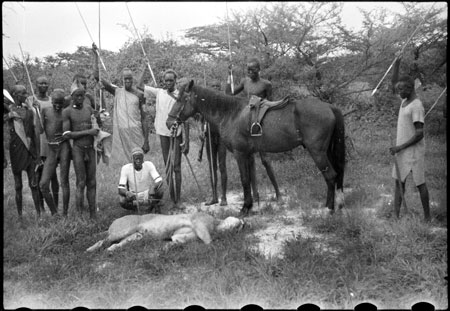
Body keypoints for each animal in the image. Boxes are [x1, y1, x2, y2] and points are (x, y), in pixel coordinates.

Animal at [167, 80, 346, 217]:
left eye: (182, 99)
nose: (169, 122)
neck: (231, 113)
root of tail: (330, 107)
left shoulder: (240, 154)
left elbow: (245, 180)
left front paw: (245, 208)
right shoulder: (247, 154)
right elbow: (249, 179)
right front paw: (250, 205)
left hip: (318, 153)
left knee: (330, 176)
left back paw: (329, 209)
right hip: (326, 152)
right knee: (334, 176)